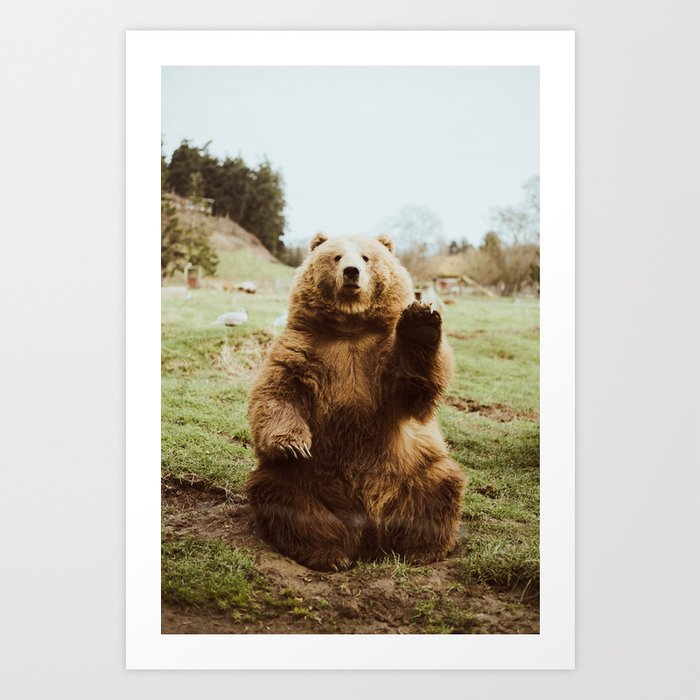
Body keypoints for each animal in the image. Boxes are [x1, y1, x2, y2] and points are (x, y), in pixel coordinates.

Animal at [245, 232, 465, 571]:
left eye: (366, 257)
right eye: (336, 256)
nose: (351, 272)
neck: (350, 328)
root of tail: (369, 533)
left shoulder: (378, 359)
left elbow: (413, 388)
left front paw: (420, 320)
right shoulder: (301, 350)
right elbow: (278, 393)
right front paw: (293, 444)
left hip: (412, 469)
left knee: (439, 486)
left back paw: (421, 549)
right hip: (306, 480)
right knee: (284, 497)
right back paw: (328, 554)